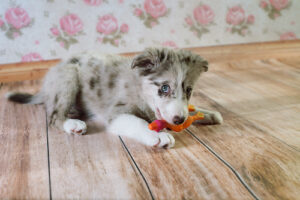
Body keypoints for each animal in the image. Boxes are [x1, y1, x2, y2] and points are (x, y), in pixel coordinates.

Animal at [5, 48, 223, 148]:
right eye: (164, 87)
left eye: (189, 90)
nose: (179, 120)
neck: (139, 89)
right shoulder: (116, 112)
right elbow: (138, 122)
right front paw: (158, 135)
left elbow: (193, 109)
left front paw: (208, 114)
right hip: (68, 78)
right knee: (53, 117)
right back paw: (73, 124)